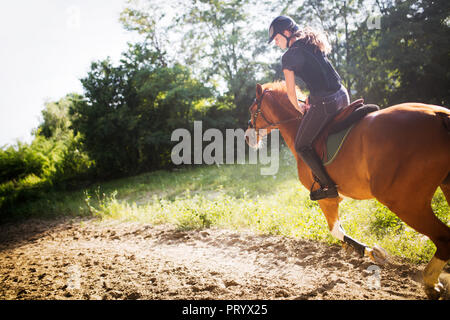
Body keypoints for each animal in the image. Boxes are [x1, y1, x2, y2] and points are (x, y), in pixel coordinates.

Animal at [246, 82, 450, 300]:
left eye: (252, 109)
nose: (247, 137)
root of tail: (437, 114)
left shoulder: (326, 199)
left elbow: (336, 231)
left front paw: (371, 251)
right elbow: (340, 232)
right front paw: (366, 251)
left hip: (405, 202)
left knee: (443, 238)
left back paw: (430, 282)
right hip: (441, 188)